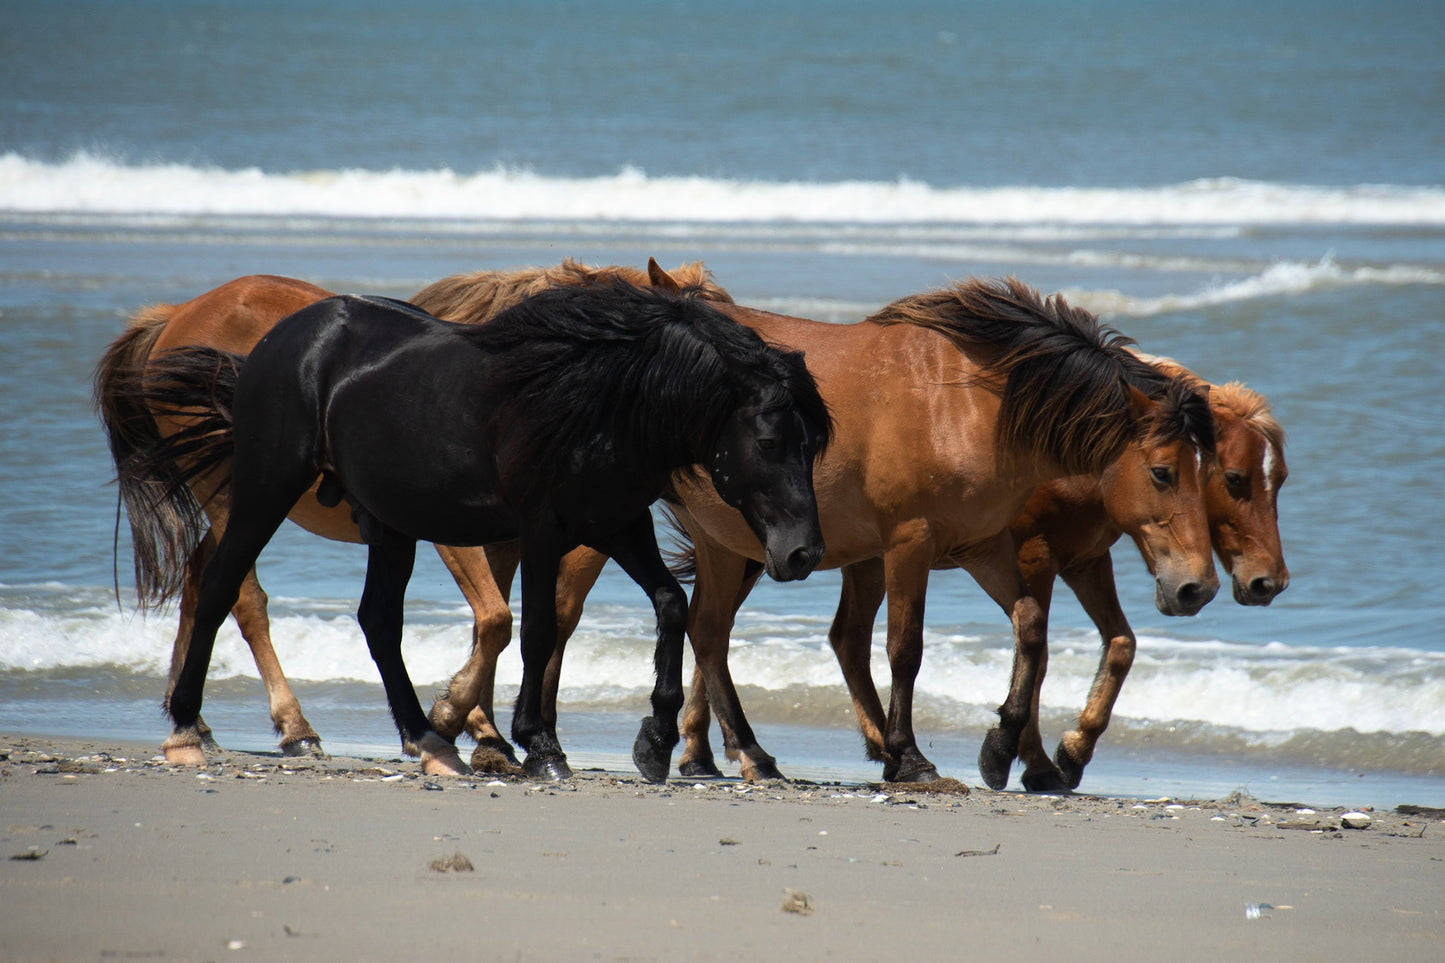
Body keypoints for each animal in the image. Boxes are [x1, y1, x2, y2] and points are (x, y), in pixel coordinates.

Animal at [135, 281, 838, 775]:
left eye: (812, 445)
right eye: (770, 441)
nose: (803, 553)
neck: (598, 403)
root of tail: (275, 343)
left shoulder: (618, 524)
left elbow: (670, 605)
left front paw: (655, 742)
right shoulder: (544, 530)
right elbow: (539, 631)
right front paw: (541, 745)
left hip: (387, 522)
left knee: (377, 620)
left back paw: (429, 742)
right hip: (264, 491)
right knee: (223, 587)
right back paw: (188, 731)